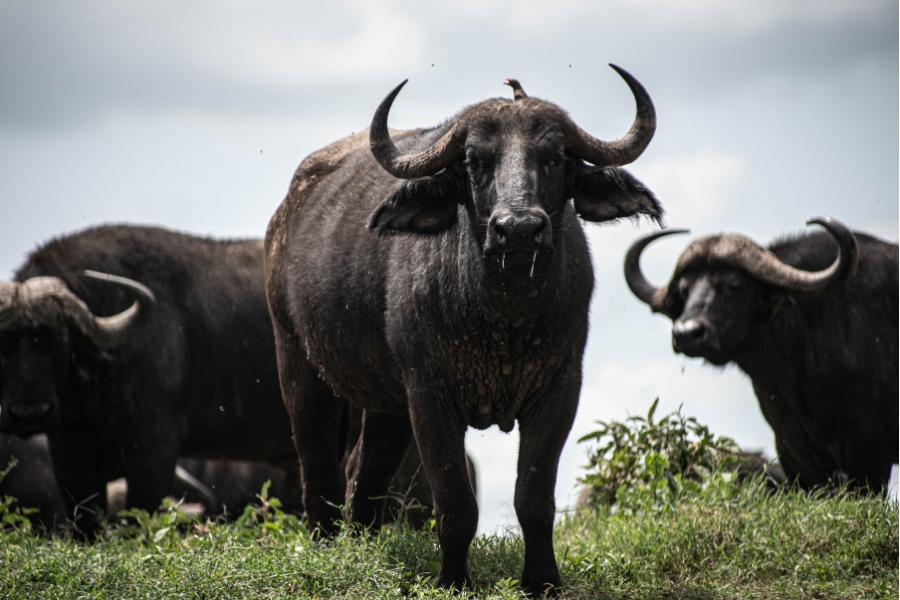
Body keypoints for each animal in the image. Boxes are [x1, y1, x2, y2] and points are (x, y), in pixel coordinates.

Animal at [265, 66, 662, 595]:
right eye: (475, 160)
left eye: (554, 157)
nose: (519, 229)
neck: (504, 320)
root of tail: (284, 218)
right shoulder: (430, 395)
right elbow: (455, 501)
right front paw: (452, 579)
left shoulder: (559, 390)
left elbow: (534, 499)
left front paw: (543, 581)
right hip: (296, 360)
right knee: (318, 465)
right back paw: (325, 546)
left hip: (389, 404)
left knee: (363, 470)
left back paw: (362, 545)